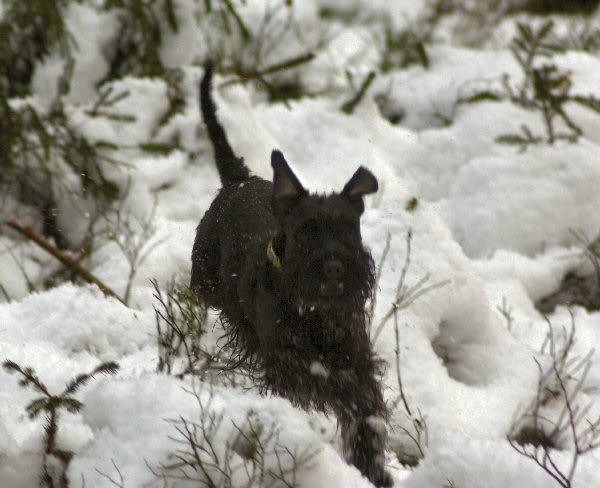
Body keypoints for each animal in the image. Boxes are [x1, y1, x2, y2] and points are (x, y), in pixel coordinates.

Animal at [190, 66, 392, 486]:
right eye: (305, 231)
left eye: (349, 228)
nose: (333, 266)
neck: (316, 313)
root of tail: (238, 180)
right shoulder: (287, 364)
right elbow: (317, 382)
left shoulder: (356, 358)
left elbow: (364, 407)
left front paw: (373, 470)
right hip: (204, 283)